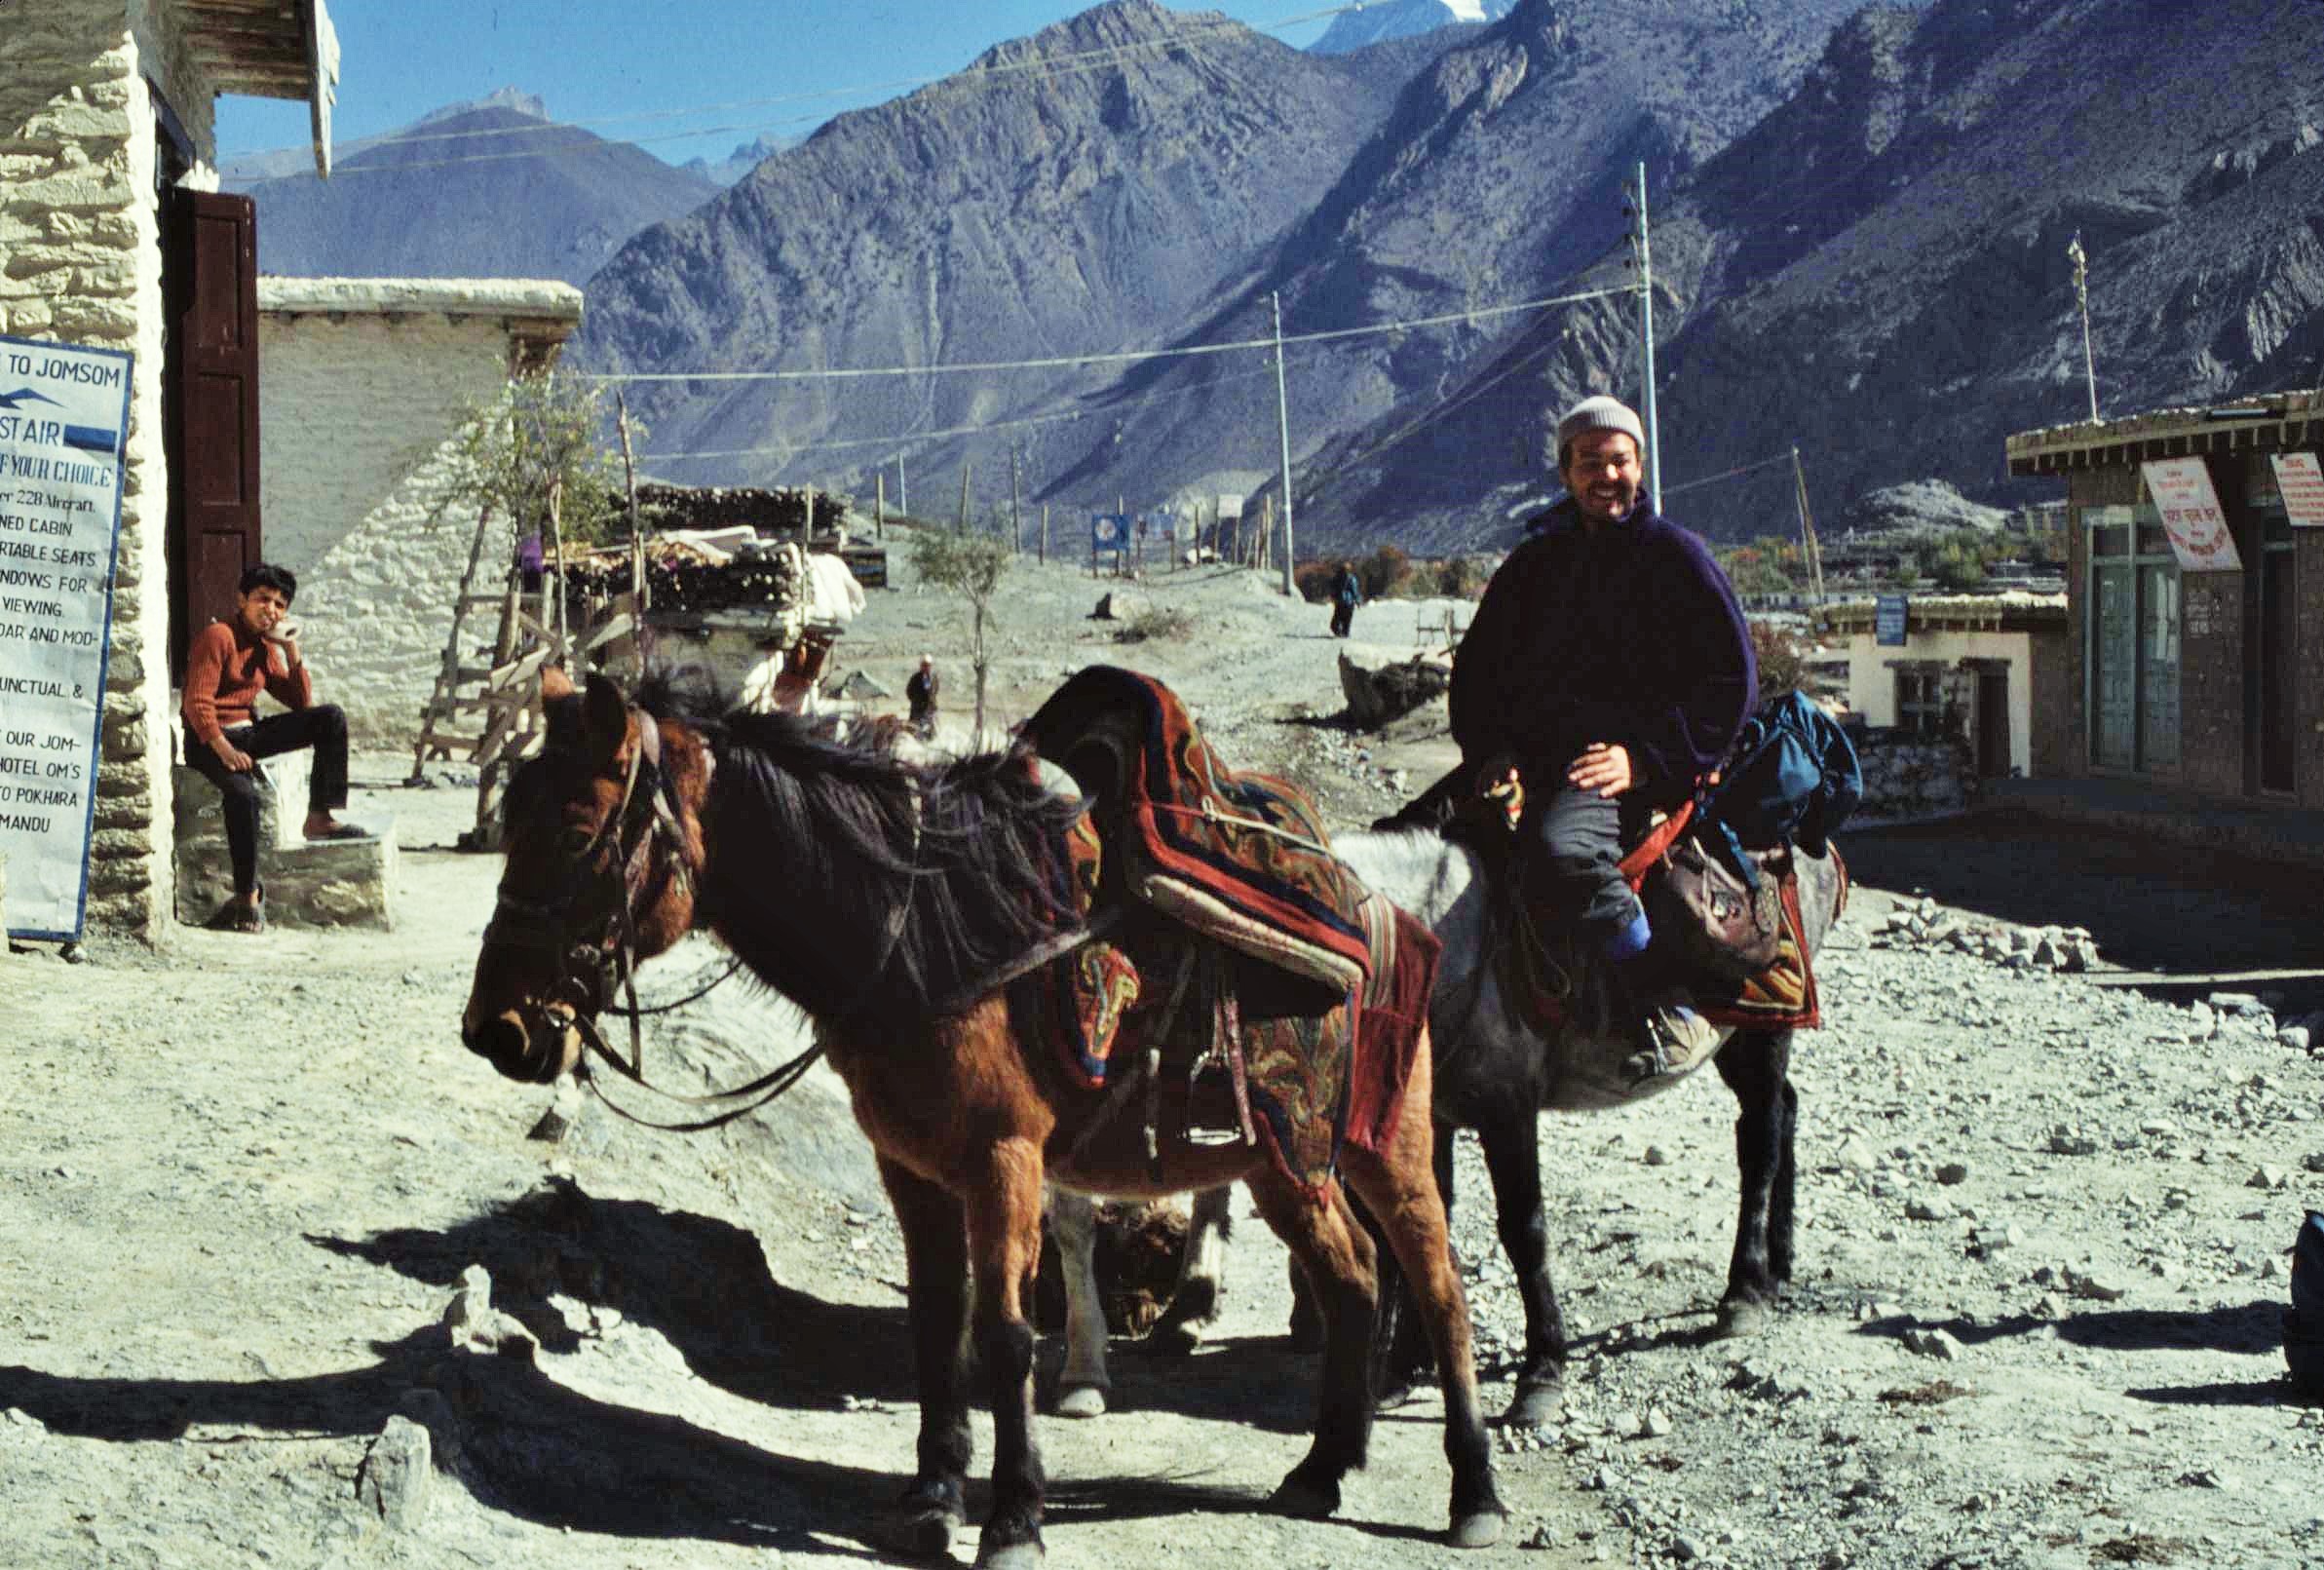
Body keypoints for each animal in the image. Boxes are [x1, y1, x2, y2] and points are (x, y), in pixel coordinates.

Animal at [459, 669, 1507, 1564]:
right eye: (512, 819)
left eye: (579, 830)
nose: (497, 1030)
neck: (923, 933)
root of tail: (1383, 910)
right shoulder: (911, 1167)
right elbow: (936, 1324)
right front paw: (932, 1497)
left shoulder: (1004, 1160)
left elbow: (1003, 1335)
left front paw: (1012, 1517)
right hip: (1282, 1159)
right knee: (1354, 1280)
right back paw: (1323, 1469)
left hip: (1385, 1145)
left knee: (1436, 1285)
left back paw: (1474, 1497)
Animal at [1054, 820, 1845, 1428]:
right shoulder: (1432, 1120)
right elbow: (1419, 1229)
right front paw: (1406, 1365)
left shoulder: (1506, 1109)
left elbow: (1523, 1231)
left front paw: (1540, 1374)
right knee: (1786, 1111)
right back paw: (1778, 1264)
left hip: (1759, 1030)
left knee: (1760, 1135)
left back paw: (1742, 1291)